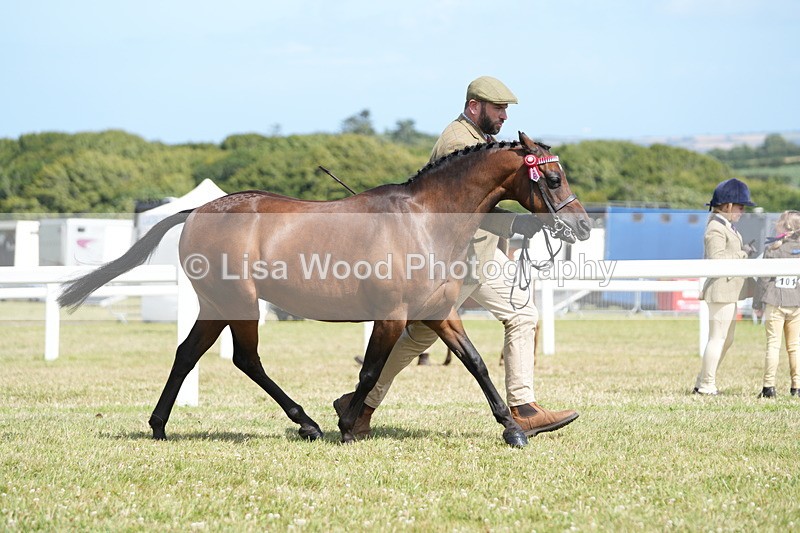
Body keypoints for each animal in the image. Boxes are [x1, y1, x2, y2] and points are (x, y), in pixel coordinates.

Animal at [58, 131, 592, 448]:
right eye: (553, 176)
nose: (583, 226)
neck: (424, 220)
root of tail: (198, 210)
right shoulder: (392, 316)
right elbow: (371, 371)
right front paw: (347, 424)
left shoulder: (439, 313)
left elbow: (476, 362)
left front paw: (514, 429)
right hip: (239, 303)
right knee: (245, 359)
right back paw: (307, 422)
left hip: (215, 305)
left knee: (188, 354)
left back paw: (160, 426)